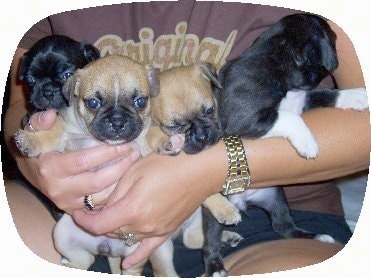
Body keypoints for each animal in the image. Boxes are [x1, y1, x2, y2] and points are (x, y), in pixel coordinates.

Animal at [203, 13, 370, 276]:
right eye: (332, 36)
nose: (339, 37)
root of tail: (243, 201)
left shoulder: (303, 100)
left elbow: (325, 95)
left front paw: (355, 96)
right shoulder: (244, 118)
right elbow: (287, 117)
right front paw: (308, 143)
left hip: (276, 197)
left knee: (282, 226)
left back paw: (314, 236)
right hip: (217, 212)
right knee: (210, 240)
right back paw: (215, 266)